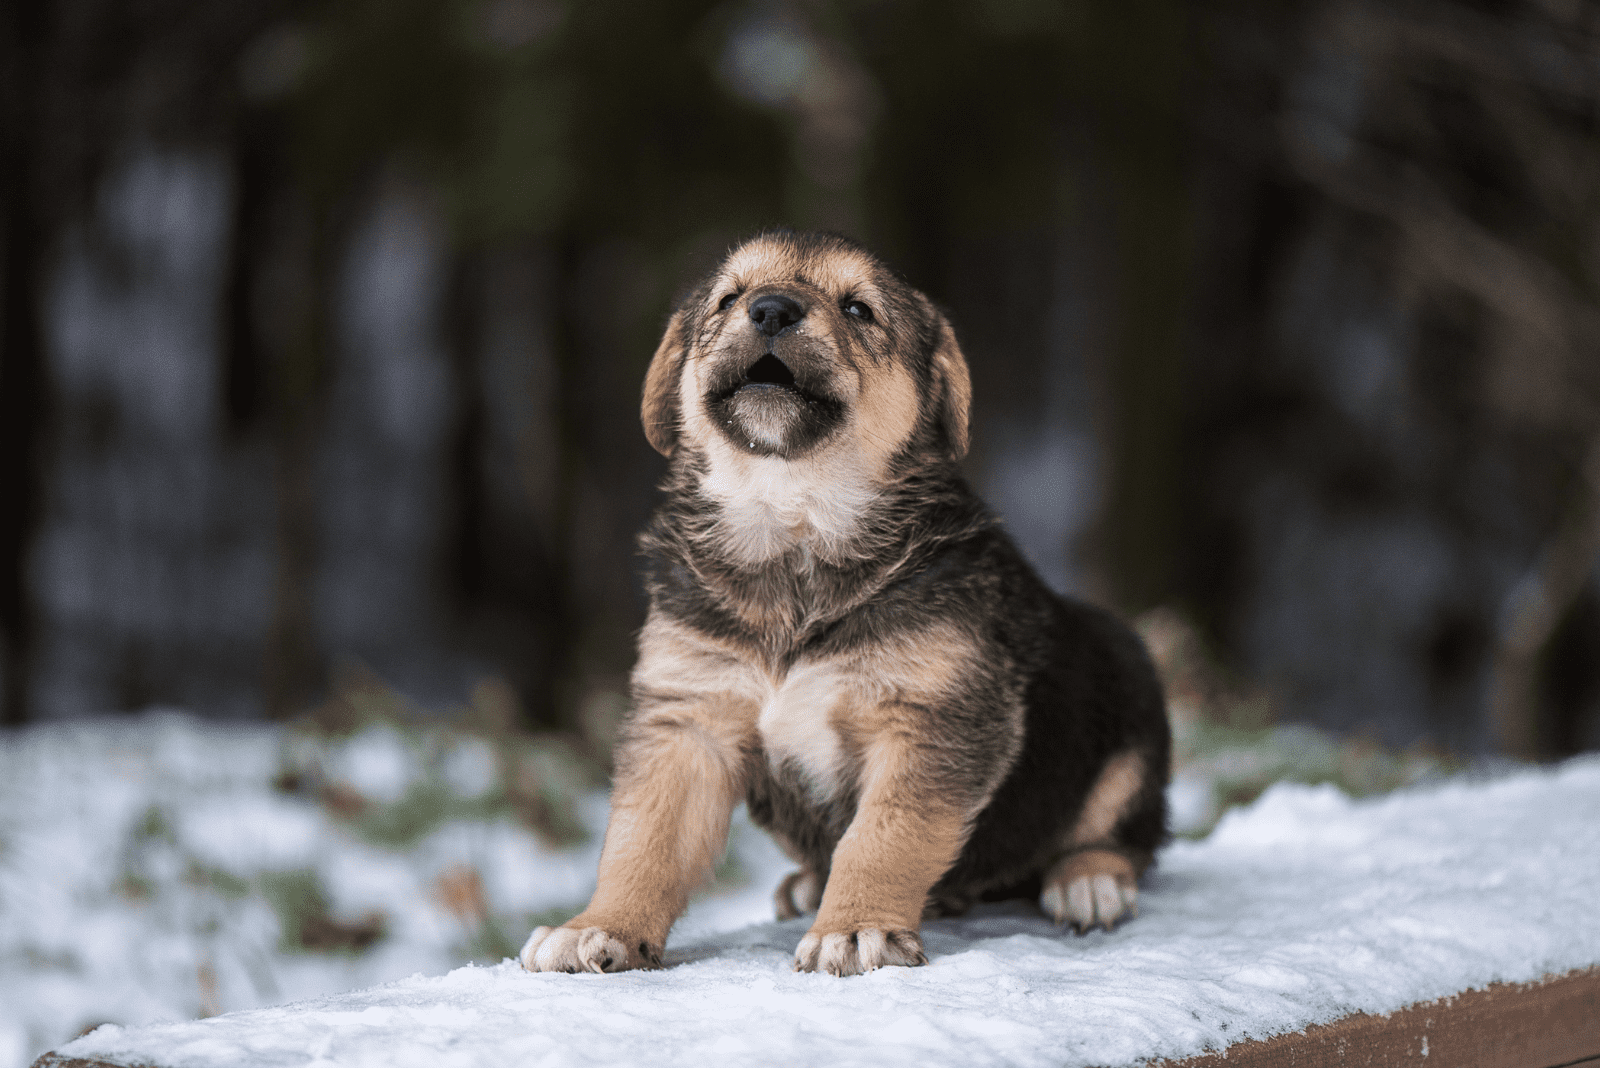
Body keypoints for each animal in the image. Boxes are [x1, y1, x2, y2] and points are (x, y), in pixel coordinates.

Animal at [518, 231, 1171, 978]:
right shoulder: (687, 720)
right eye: (730, 298)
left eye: (859, 309)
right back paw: (809, 884)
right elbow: (642, 837)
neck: (794, 523)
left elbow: (885, 836)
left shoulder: (932, 720)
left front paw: (856, 928)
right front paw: (599, 926)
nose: (771, 309)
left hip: (1128, 695)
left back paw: (1088, 880)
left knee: (1123, 835)